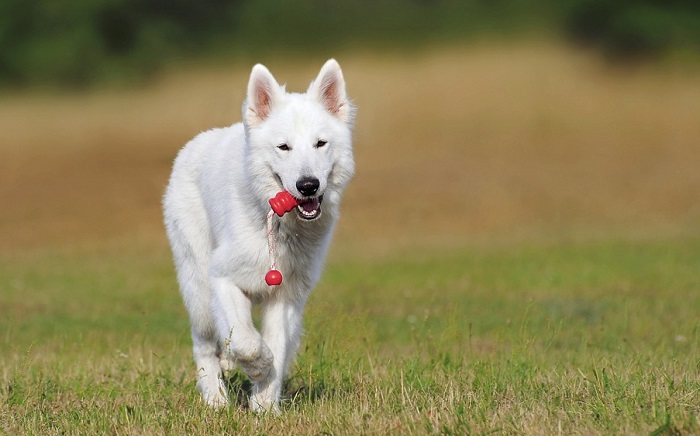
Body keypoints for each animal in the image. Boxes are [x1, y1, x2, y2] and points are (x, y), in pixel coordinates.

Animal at [161, 60, 352, 412]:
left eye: (320, 144)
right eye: (283, 147)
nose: (308, 185)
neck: (278, 227)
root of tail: (195, 143)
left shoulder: (286, 297)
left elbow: (276, 345)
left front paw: (265, 407)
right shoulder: (222, 279)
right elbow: (248, 342)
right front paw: (258, 366)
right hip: (199, 290)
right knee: (204, 345)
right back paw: (216, 400)